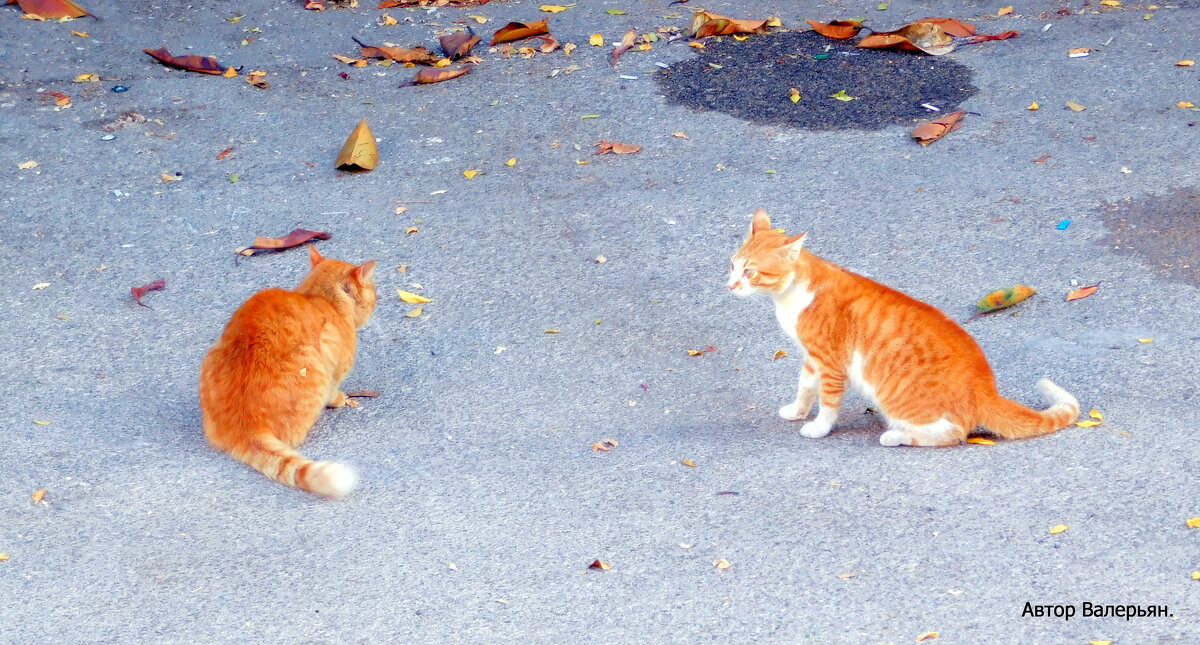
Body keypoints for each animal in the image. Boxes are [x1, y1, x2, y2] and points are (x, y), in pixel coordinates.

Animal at [199, 243, 374, 493]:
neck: (320, 298)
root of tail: (245, 425)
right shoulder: (333, 362)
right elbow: (334, 390)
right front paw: (341, 399)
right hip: (312, 364)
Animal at [724, 208, 1084, 443]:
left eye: (750, 272)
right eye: (732, 265)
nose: (730, 285)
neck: (793, 295)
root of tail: (986, 389)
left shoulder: (830, 364)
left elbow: (827, 403)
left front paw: (818, 427)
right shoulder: (813, 360)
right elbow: (805, 388)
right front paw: (798, 411)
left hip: (897, 399)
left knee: (953, 434)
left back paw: (896, 436)